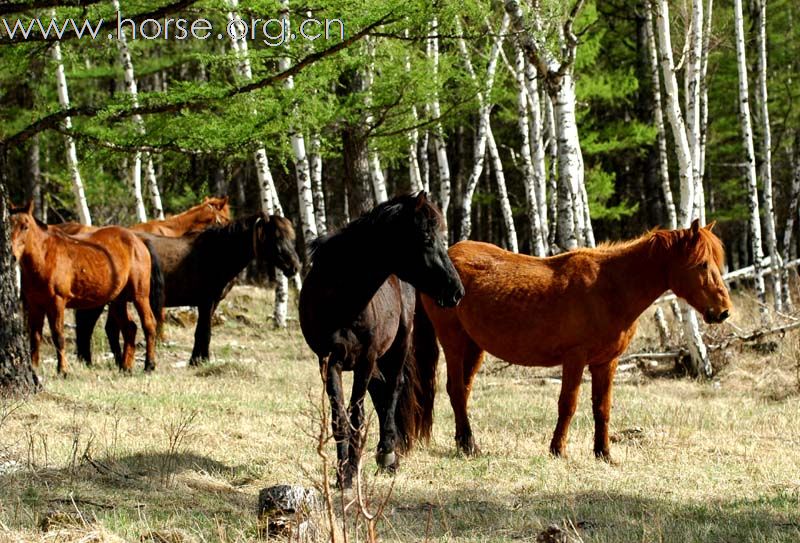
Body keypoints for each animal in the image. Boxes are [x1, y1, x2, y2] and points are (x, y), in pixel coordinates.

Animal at [9, 202, 164, 376]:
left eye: (25, 226)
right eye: (8, 225)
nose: (12, 255)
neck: (45, 257)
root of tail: (139, 240)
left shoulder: (57, 303)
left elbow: (58, 336)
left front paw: (62, 370)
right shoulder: (35, 305)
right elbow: (35, 337)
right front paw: (34, 368)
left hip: (140, 296)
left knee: (148, 324)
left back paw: (149, 365)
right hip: (118, 300)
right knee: (130, 328)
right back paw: (126, 367)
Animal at [76, 215, 300, 368]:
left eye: (291, 236)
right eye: (276, 238)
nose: (295, 266)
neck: (216, 252)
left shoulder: (212, 303)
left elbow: (202, 332)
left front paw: (198, 359)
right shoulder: (206, 301)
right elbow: (204, 332)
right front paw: (199, 360)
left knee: (107, 329)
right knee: (89, 326)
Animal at [298, 193, 462, 490]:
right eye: (427, 237)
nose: (457, 291)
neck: (341, 298)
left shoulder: (366, 358)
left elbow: (357, 415)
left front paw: (352, 470)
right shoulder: (329, 361)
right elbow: (340, 418)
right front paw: (342, 474)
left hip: (399, 345)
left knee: (394, 386)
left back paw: (388, 454)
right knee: (381, 390)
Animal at [416, 221, 736, 464]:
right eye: (702, 264)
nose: (723, 311)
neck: (610, 288)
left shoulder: (606, 362)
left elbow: (602, 408)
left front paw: (604, 453)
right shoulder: (575, 358)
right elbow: (567, 404)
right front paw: (558, 449)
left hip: (474, 346)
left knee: (464, 391)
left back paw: (463, 442)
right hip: (453, 341)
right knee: (456, 390)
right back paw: (470, 445)